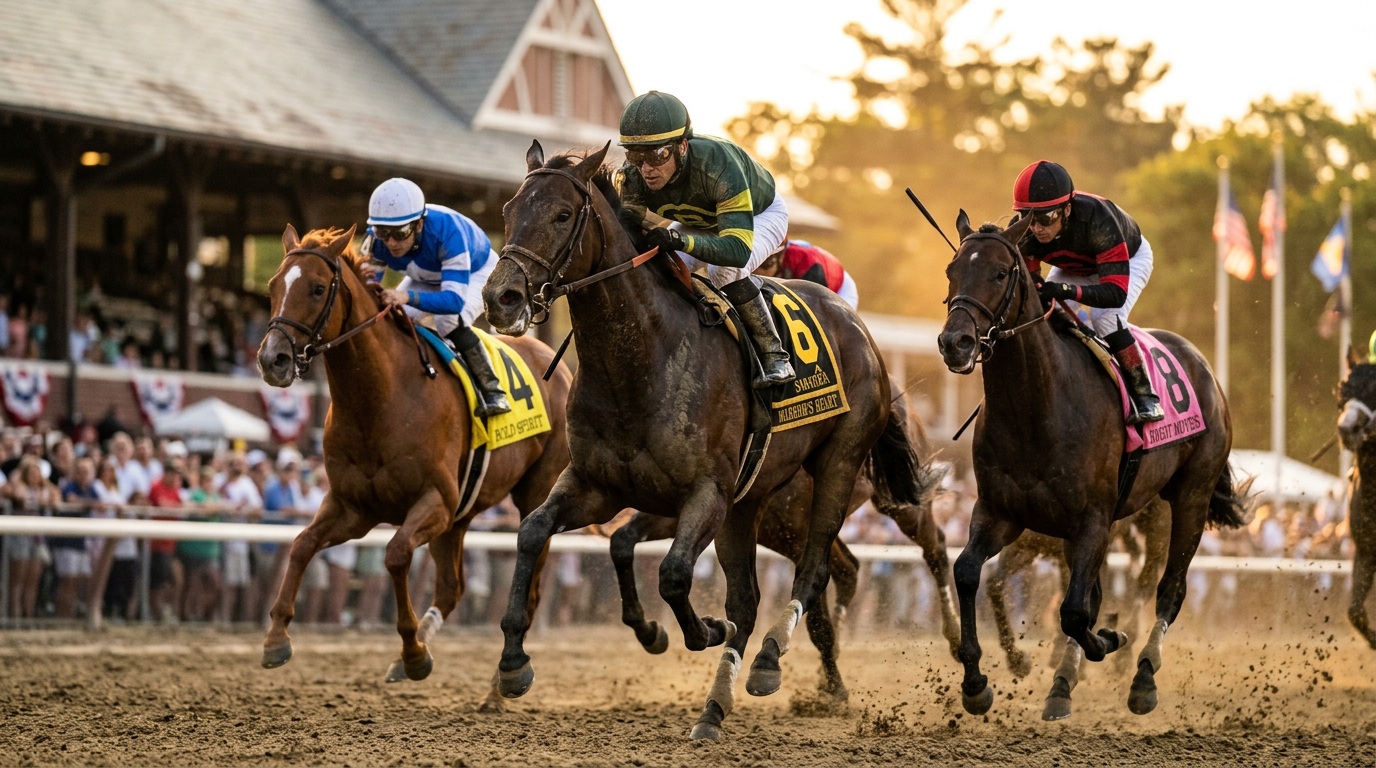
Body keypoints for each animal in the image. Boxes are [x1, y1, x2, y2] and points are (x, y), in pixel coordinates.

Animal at [256, 226, 571, 707]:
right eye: (274, 286)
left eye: (316, 288)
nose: (272, 360)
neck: (379, 399)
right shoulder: (353, 508)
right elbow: (301, 545)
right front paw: (276, 638)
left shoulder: (434, 502)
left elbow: (395, 554)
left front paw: (414, 653)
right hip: (461, 514)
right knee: (452, 587)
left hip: (533, 494)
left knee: (531, 591)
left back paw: (499, 687)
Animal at [609, 388, 958, 708]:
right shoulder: (704, 509)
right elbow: (622, 541)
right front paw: (650, 631)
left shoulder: (798, 533)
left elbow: (817, 620)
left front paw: (833, 689)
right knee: (850, 569)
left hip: (897, 501)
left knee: (936, 548)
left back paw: (956, 638)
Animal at [936, 212, 1248, 717]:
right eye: (952, 269)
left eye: (1000, 273)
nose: (955, 343)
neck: (1037, 407)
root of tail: (1203, 366)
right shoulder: (1002, 513)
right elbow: (967, 573)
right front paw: (976, 683)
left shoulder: (1092, 520)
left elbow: (1076, 611)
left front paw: (1107, 642)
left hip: (1187, 500)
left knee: (1168, 587)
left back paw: (1141, 675)